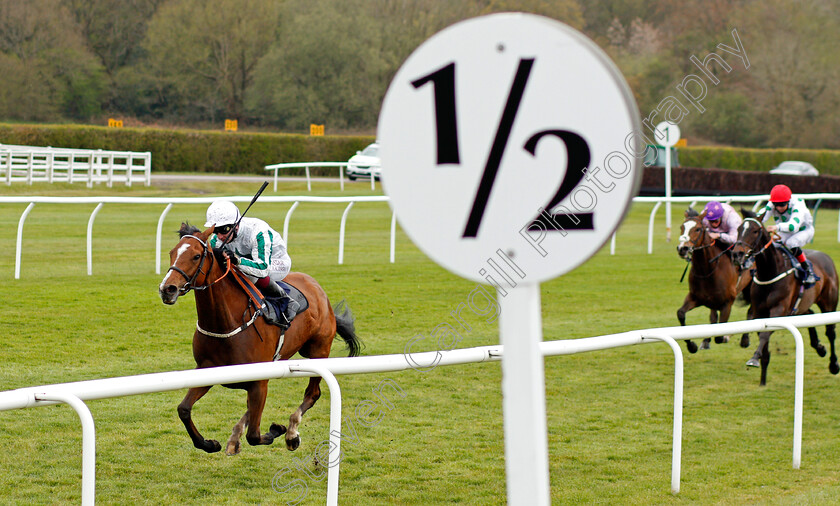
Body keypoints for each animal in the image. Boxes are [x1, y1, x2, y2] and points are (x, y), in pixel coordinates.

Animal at [159, 224, 362, 454]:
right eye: (171, 253)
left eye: (195, 256)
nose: (167, 289)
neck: (226, 323)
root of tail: (317, 288)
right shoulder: (208, 370)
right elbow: (183, 409)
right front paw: (209, 443)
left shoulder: (258, 382)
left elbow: (254, 436)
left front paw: (278, 429)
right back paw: (235, 438)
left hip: (318, 351)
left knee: (313, 393)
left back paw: (291, 433)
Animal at [680, 208, 752, 354]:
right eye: (681, 227)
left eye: (697, 229)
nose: (682, 249)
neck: (707, 270)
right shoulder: (695, 297)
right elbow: (681, 314)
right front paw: (692, 345)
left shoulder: (727, 303)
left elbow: (719, 336)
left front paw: (726, 337)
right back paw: (706, 341)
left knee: (752, 312)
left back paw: (745, 339)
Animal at [732, 211, 836, 386]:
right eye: (739, 228)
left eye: (755, 231)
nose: (736, 254)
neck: (770, 272)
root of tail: (827, 257)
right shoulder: (760, 311)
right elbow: (763, 336)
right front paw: (762, 376)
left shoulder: (779, 310)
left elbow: (765, 335)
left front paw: (754, 359)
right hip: (801, 305)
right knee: (810, 314)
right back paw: (819, 347)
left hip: (829, 304)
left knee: (831, 332)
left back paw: (834, 364)